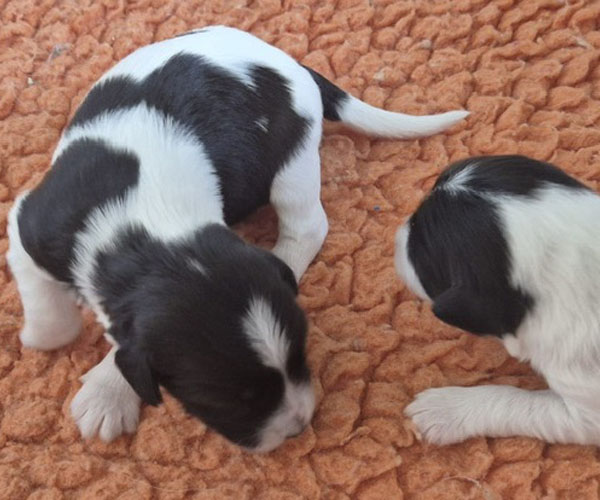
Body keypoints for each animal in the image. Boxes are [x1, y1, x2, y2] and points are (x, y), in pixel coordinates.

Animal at [7, 25, 468, 452]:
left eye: (301, 355)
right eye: (229, 398)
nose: (298, 429)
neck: (144, 226)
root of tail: (294, 65)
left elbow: (106, 341)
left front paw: (104, 387)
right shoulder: (29, 224)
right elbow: (51, 314)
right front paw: (45, 336)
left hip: (292, 160)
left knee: (307, 226)